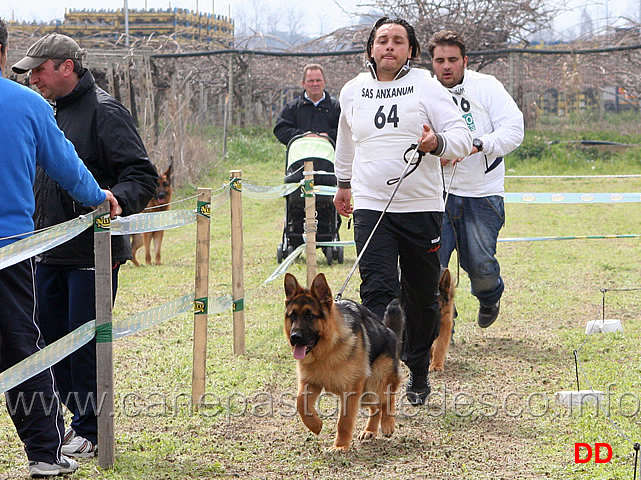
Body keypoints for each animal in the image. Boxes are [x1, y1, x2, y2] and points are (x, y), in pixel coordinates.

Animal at [284, 272, 402, 452]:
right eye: (292, 316)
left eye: (310, 316)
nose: (294, 337)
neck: (328, 349)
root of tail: (389, 331)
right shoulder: (310, 383)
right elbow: (300, 403)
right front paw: (315, 425)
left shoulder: (351, 390)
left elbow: (344, 421)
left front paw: (340, 446)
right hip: (366, 392)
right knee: (375, 407)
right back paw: (370, 430)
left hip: (376, 379)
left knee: (387, 397)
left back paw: (388, 423)